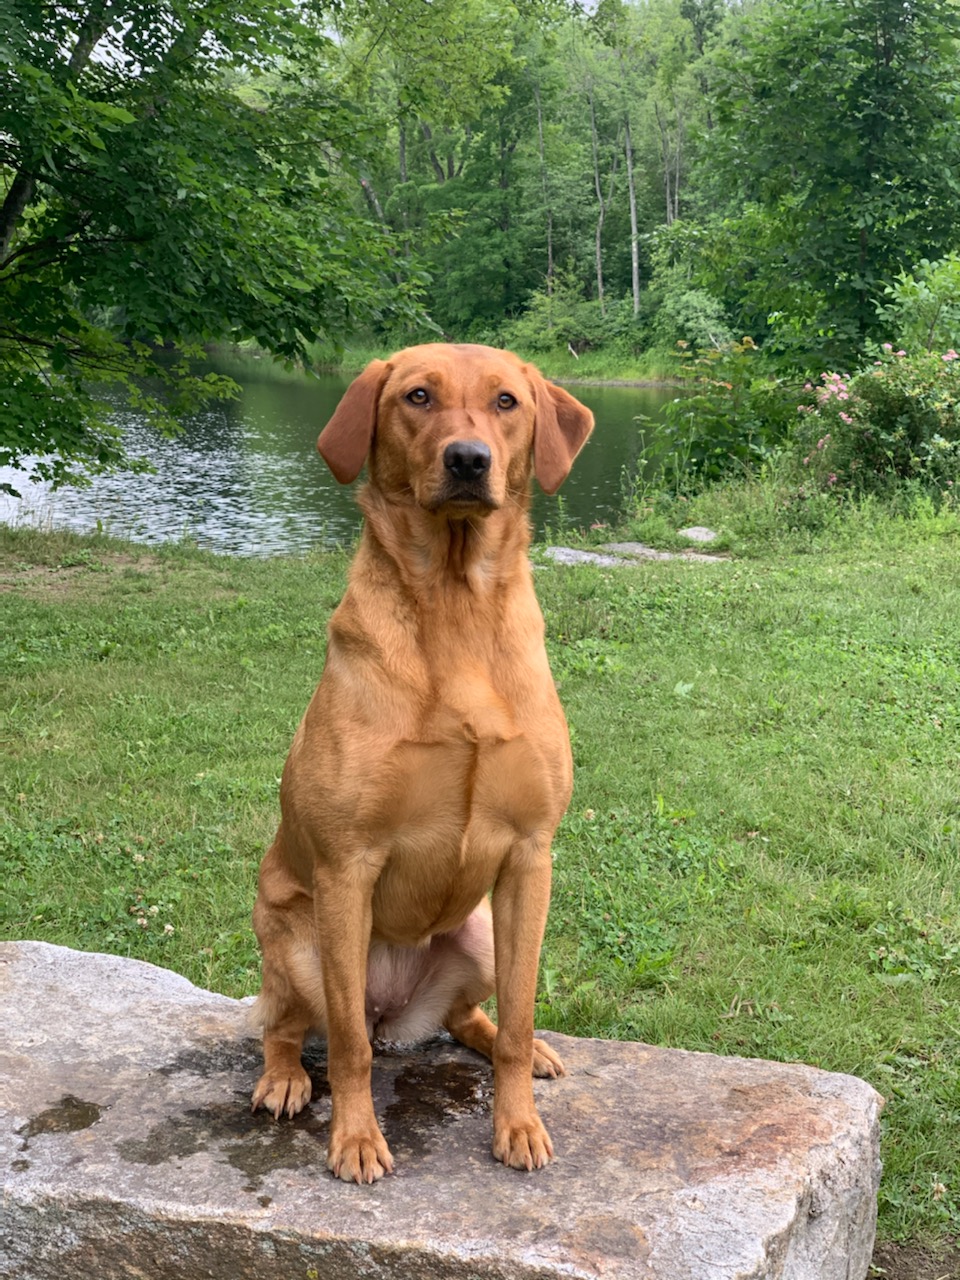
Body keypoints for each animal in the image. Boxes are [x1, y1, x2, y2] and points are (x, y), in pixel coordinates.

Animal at [249, 340, 593, 1177]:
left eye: (506, 402)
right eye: (417, 397)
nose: (468, 460)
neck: (455, 602)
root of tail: (395, 1014)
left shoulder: (531, 857)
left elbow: (519, 1012)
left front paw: (517, 1122)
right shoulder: (347, 868)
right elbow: (346, 1048)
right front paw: (356, 1137)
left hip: (484, 932)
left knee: (475, 1015)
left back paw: (519, 1049)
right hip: (294, 938)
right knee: (292, 1024)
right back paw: (283, 1077)